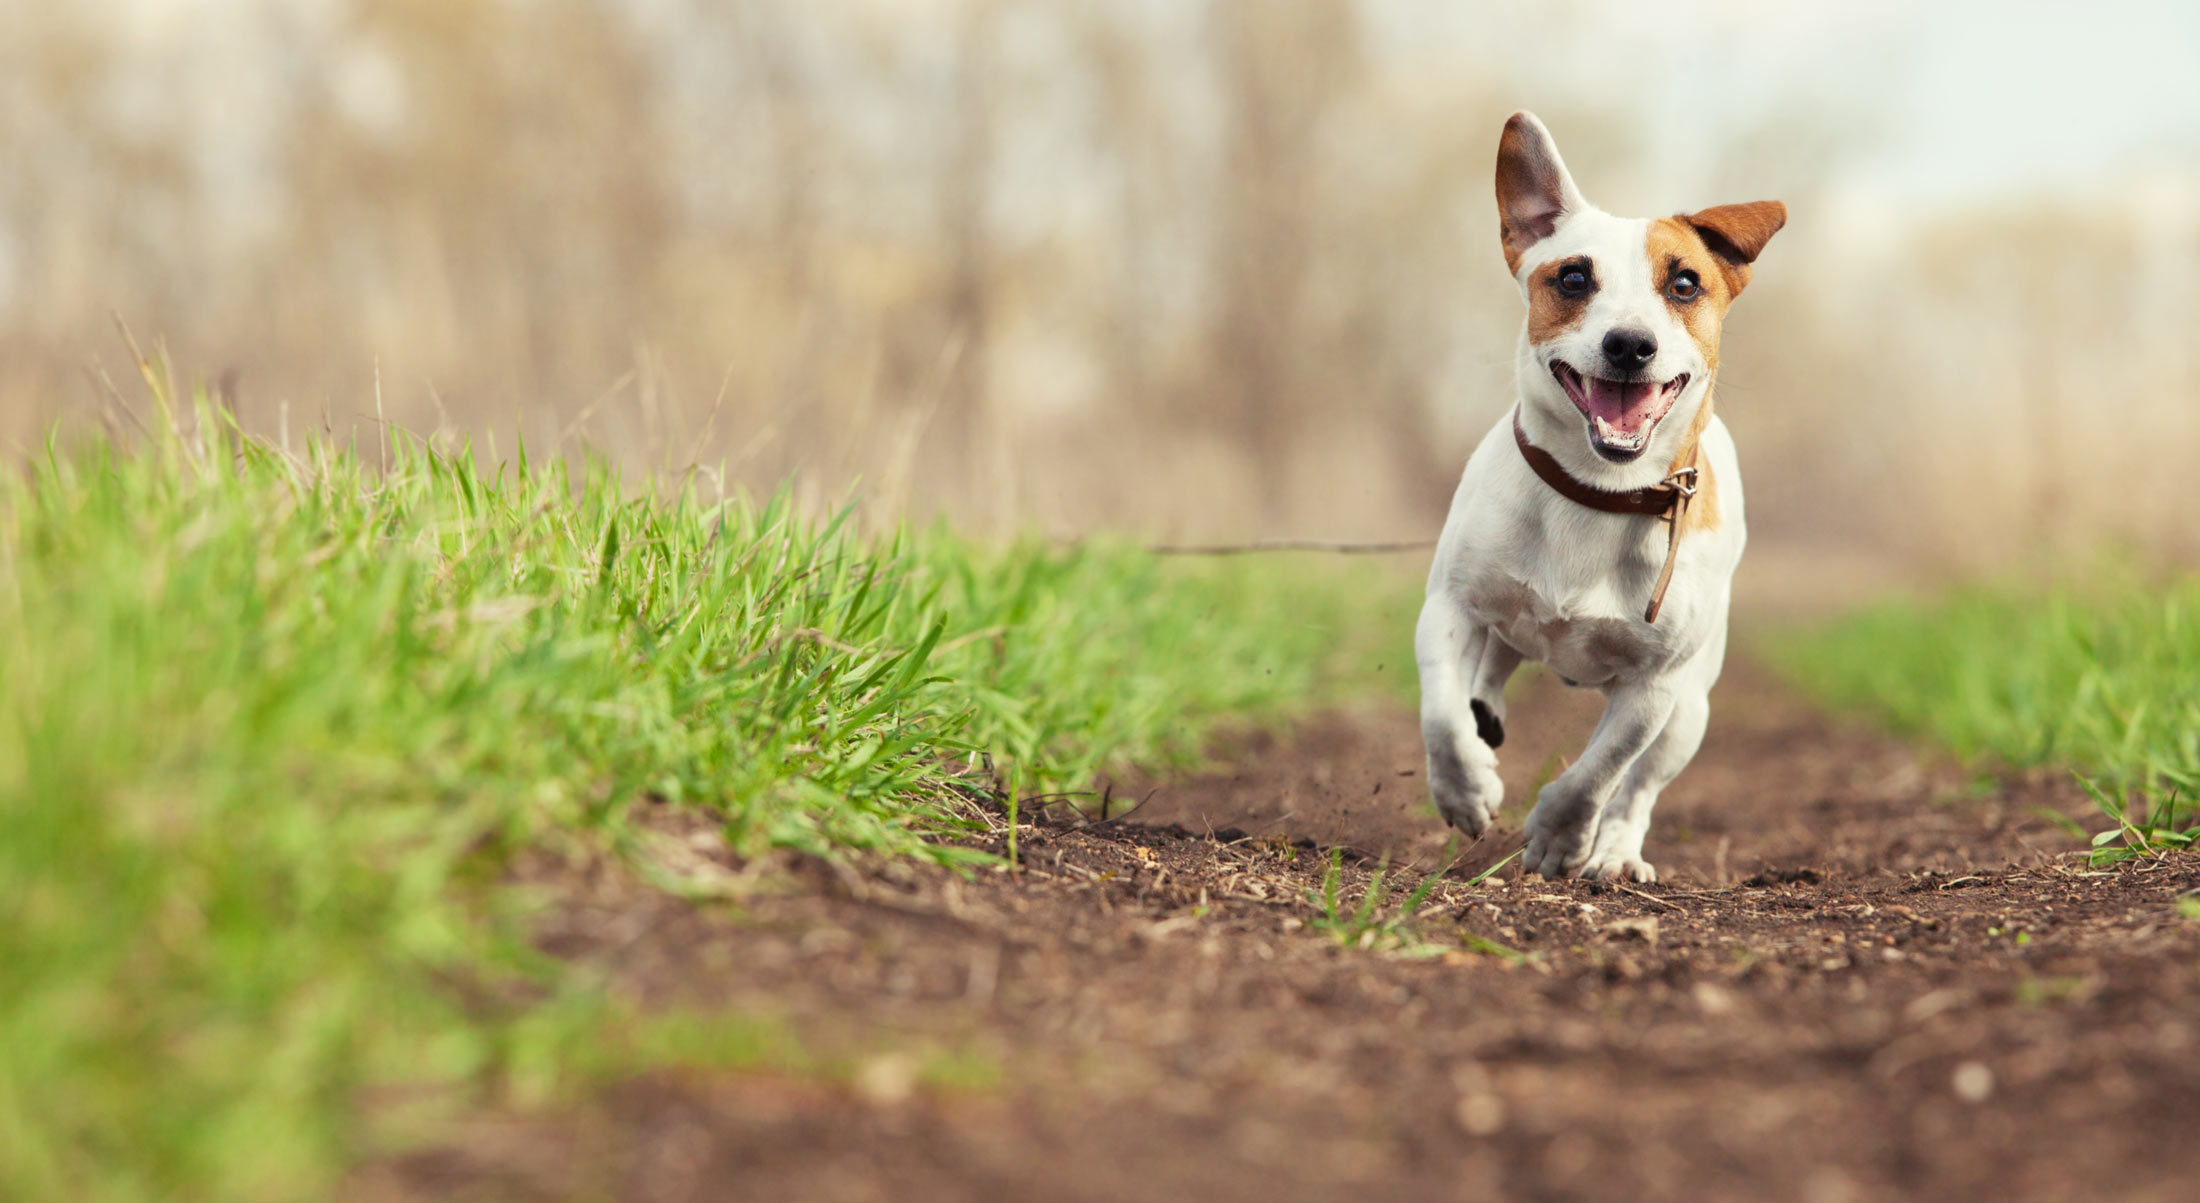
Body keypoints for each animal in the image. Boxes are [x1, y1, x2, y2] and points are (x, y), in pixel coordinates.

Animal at [1408, 113, 1786, 884]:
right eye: (1574, 276)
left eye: (1684, 283)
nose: (1630, 344)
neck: (1597, 491)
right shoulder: (1450, 608)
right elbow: (1440, 711)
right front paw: (1464, 786)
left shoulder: (1655, 685)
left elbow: (1603, 769)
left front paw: (1562, 834)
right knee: (1490, 670)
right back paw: (1485, 714)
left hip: (1690, 711)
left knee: (1639, 786)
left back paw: (1615, 852)